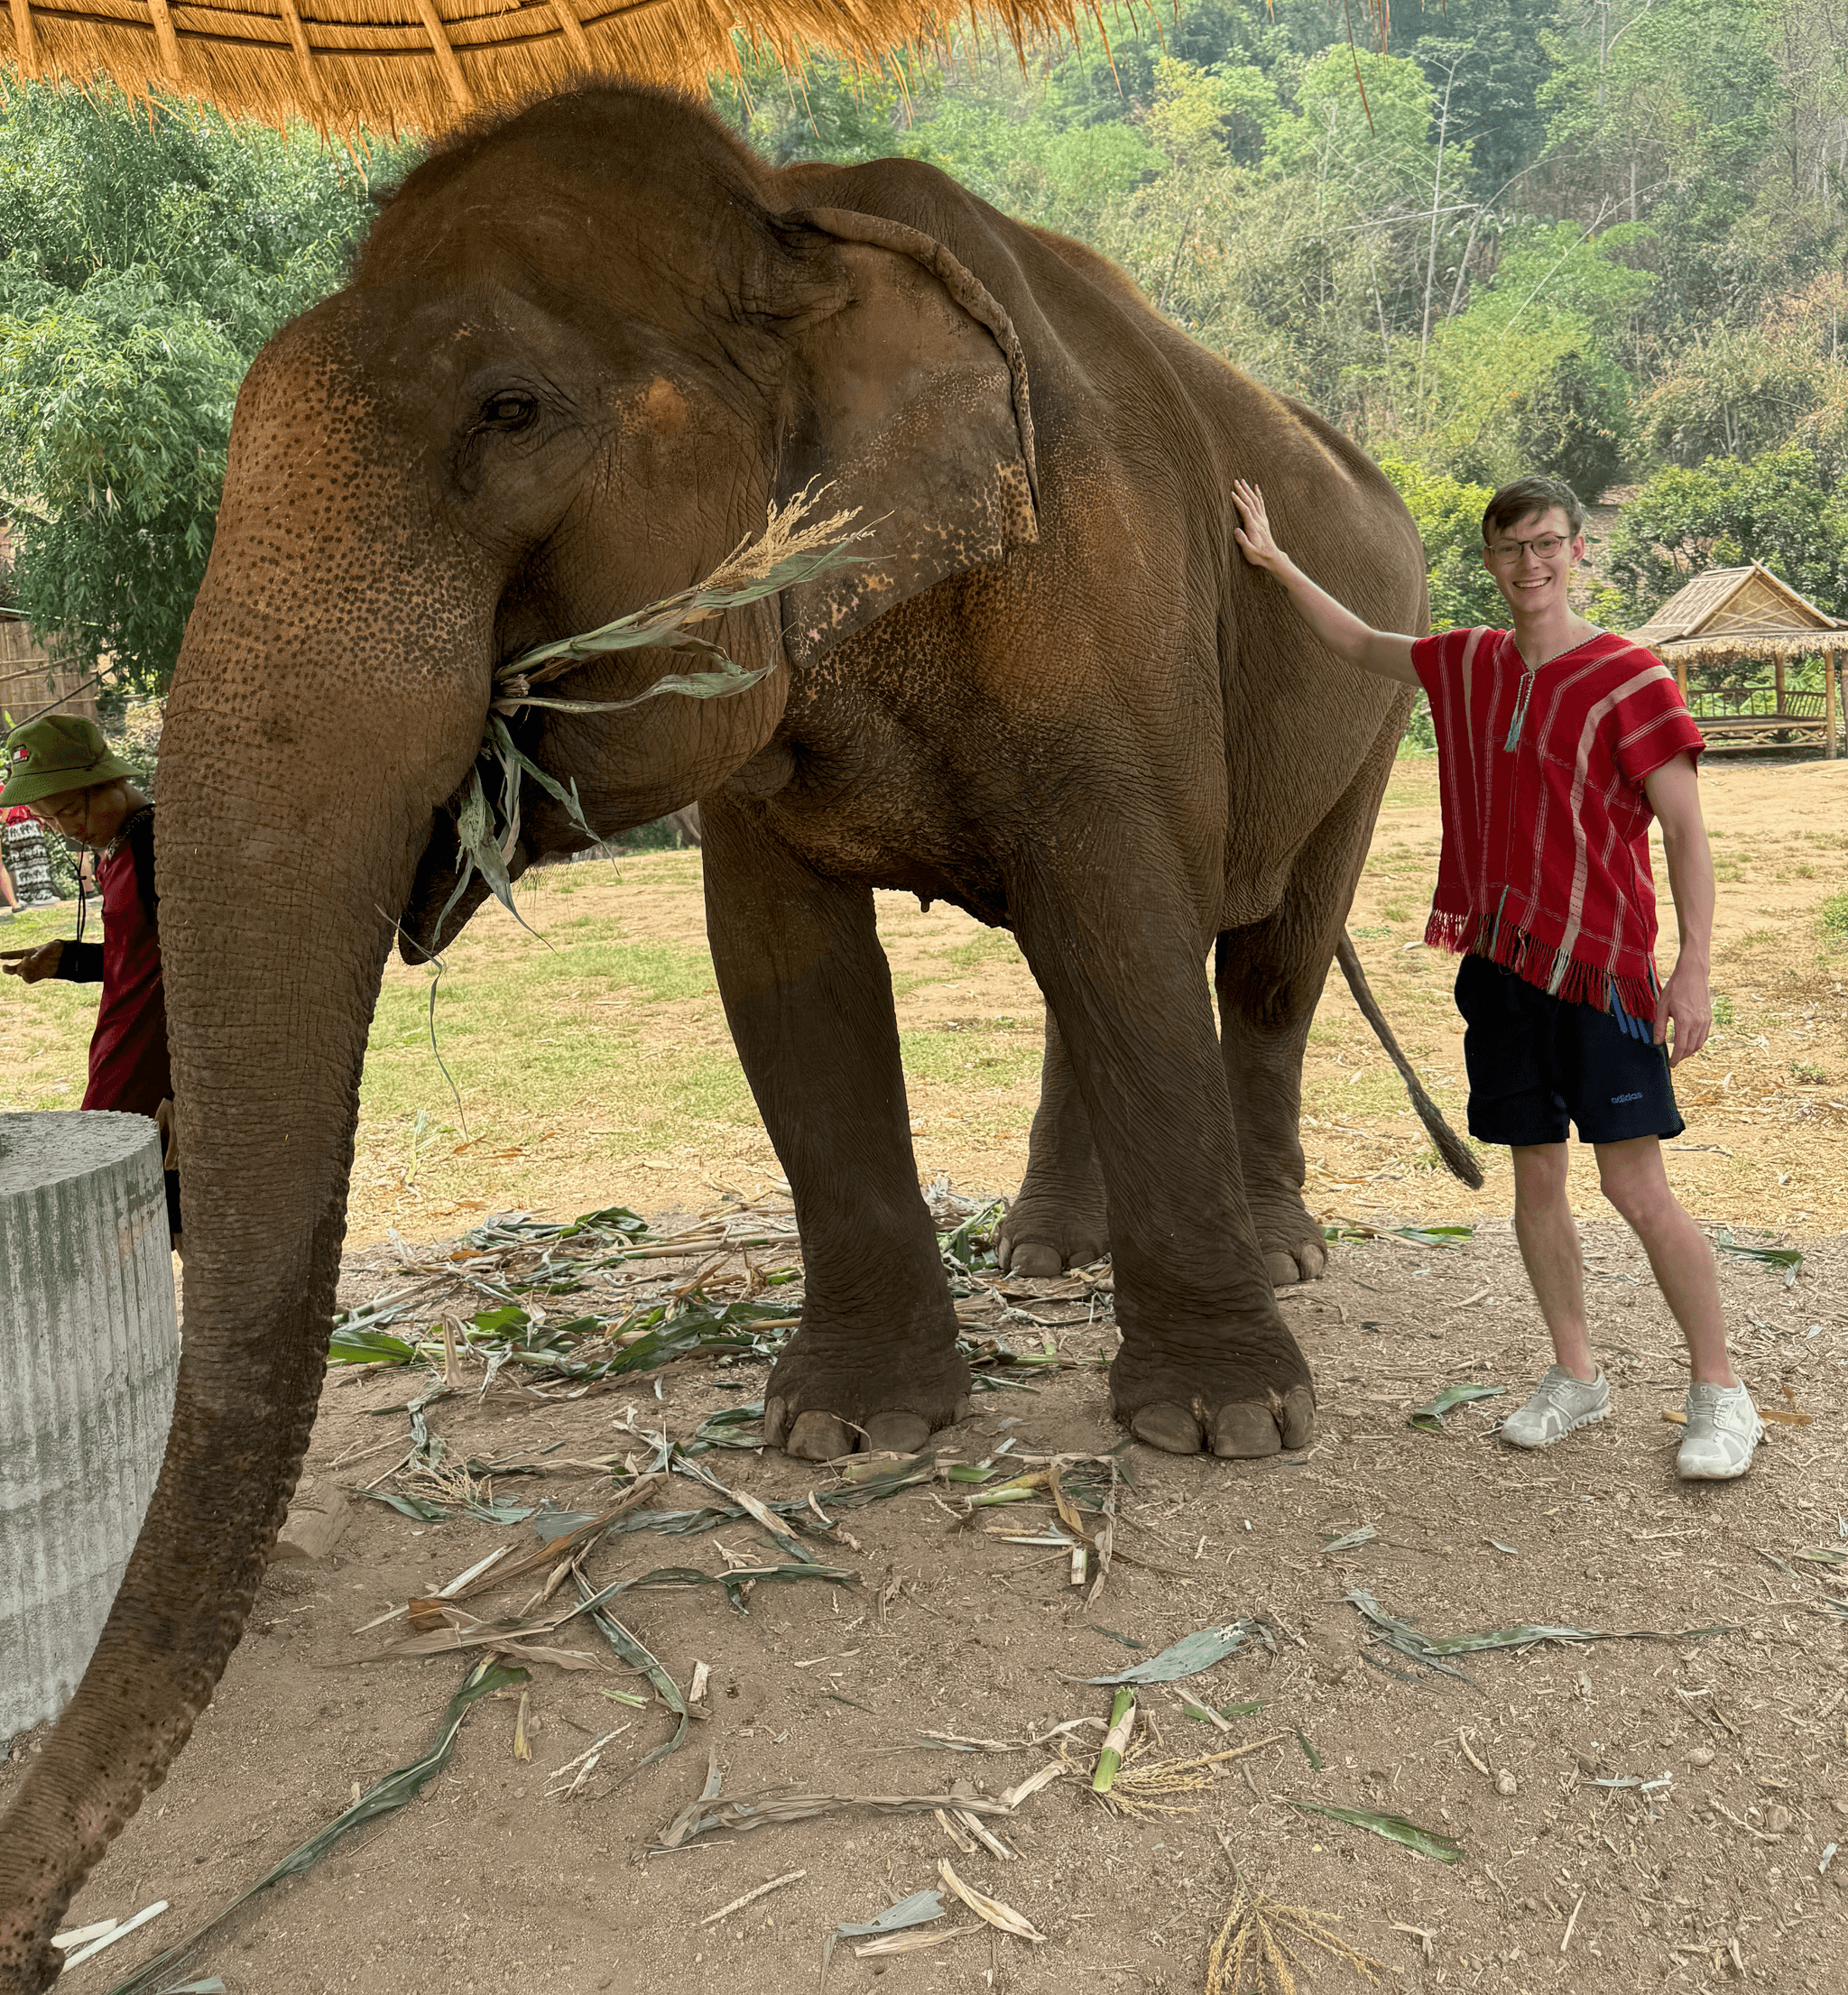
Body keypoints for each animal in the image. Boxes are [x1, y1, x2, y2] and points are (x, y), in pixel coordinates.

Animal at [0, 86, 1445, 1987]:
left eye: (510, 412)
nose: (36, 1939)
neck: (795, 212)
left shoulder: (1104, 585)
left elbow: (1127, 913)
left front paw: (1218, 1431)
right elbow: (786, 978)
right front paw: (844, 1436)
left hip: (1367, 686)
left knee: (1258, 957)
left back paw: (1275, 1256)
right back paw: (1044, 1259)